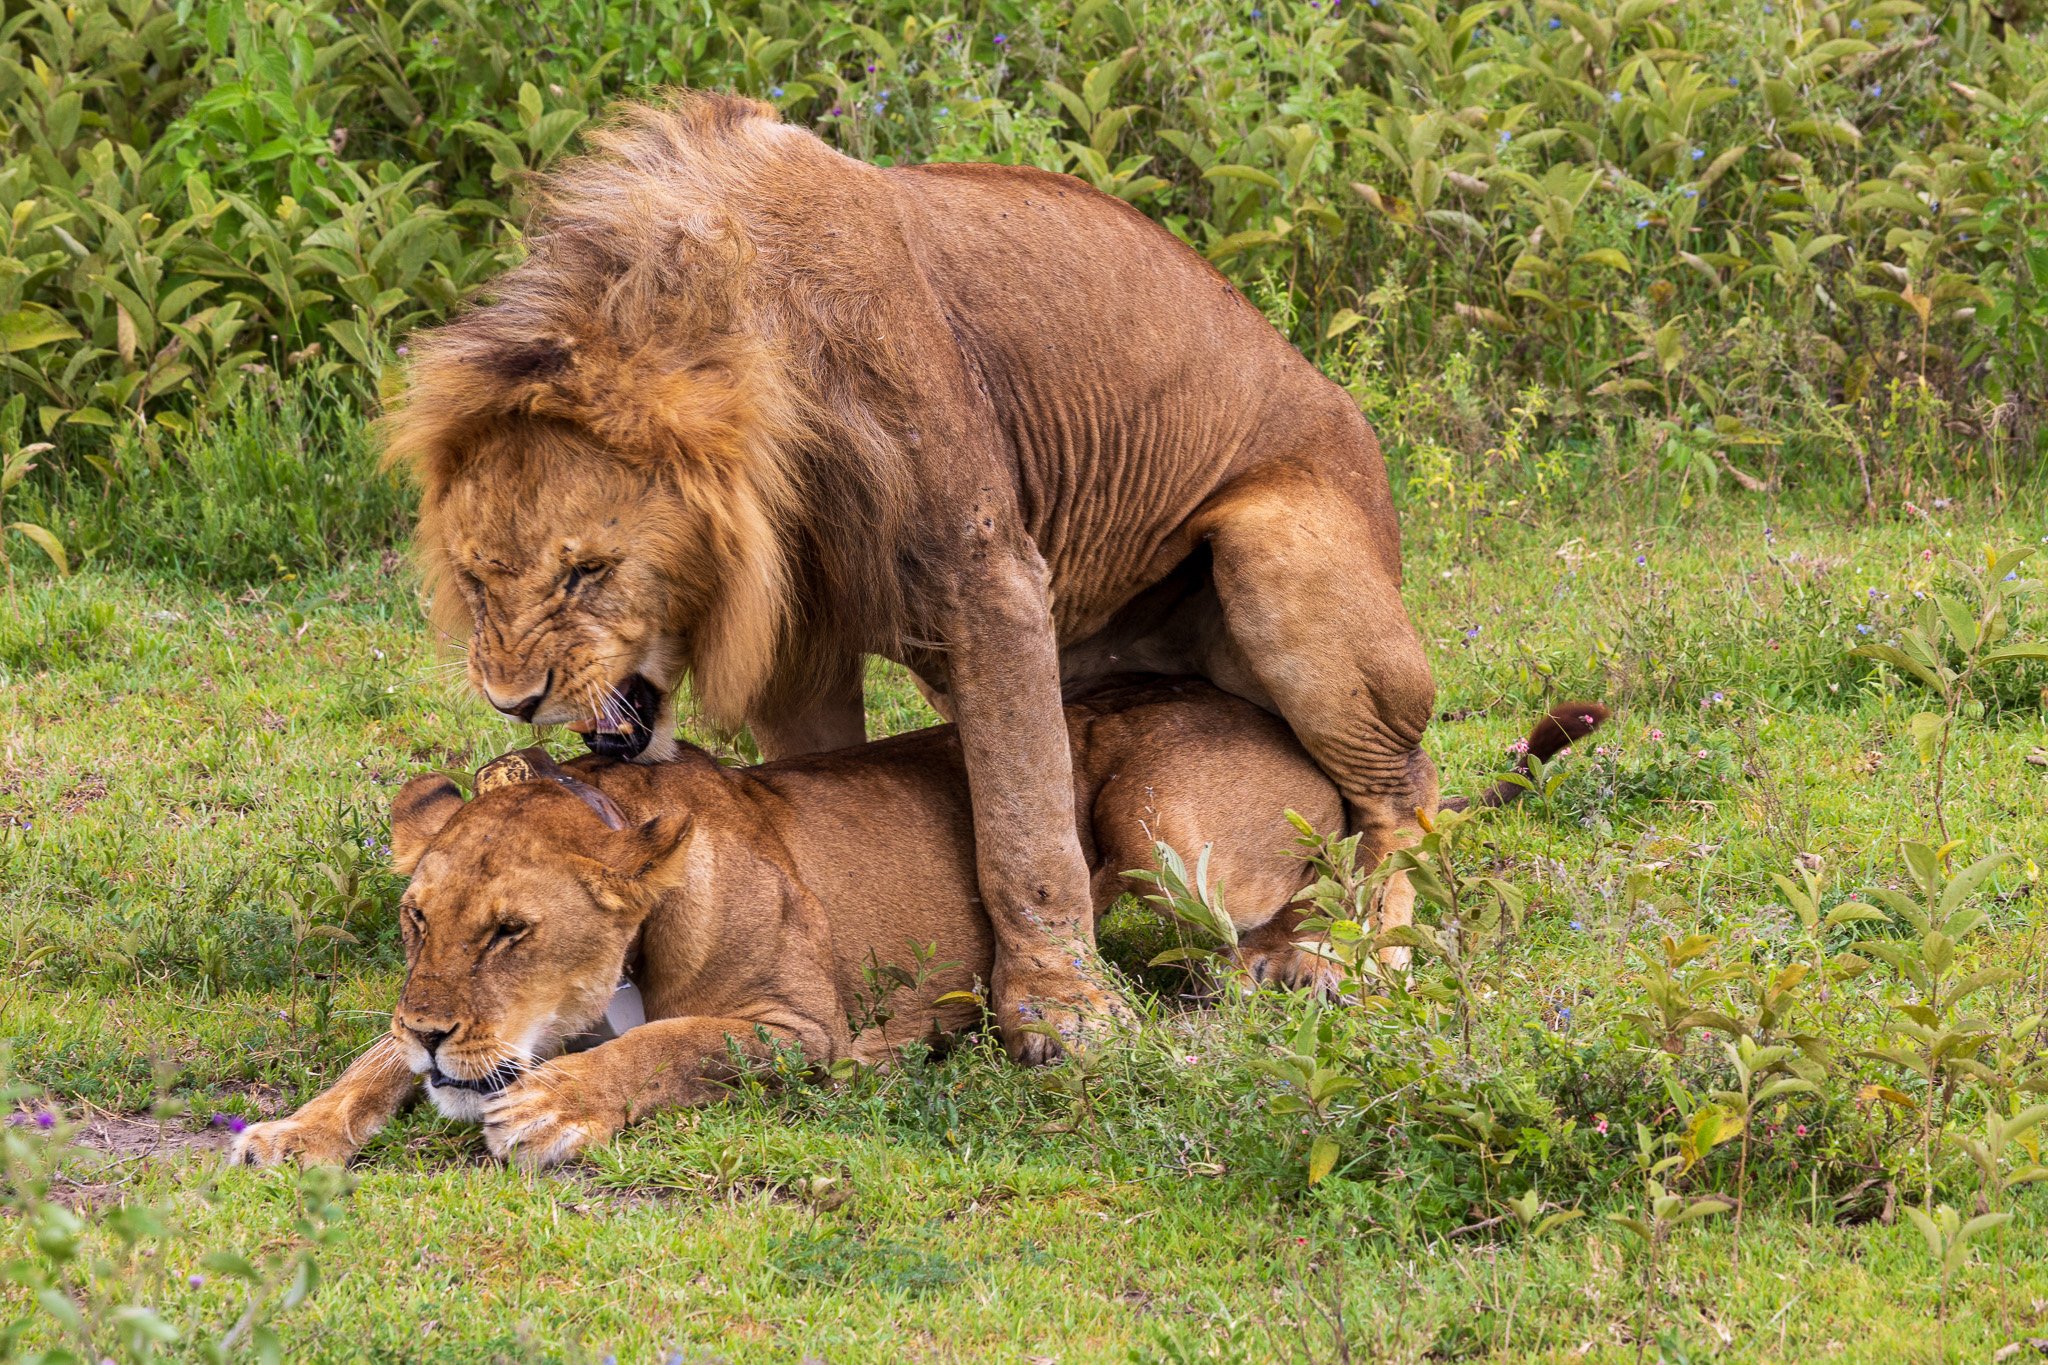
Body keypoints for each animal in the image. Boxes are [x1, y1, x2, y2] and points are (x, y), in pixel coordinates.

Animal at [228, 679, 1597, 1170]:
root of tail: (1272, 719)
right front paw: (293, 1131)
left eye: (511, 932)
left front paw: (555, 1108)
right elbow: (365, 1065)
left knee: (1334, 895)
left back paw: (1295, 972)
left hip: (1153, 826)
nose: (434, 1032)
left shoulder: (799, 1028)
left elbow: (666, 1046)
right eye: (417, 919)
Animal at [387, 90, 1441, 1064]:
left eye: (587, 573)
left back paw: (1355, 954)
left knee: (1404, 788)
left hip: (1273, 548)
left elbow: (1025, 830)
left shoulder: (991, 578)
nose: (515, 702)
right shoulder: (800, 636)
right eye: (476, 584)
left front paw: (1063, 1013)